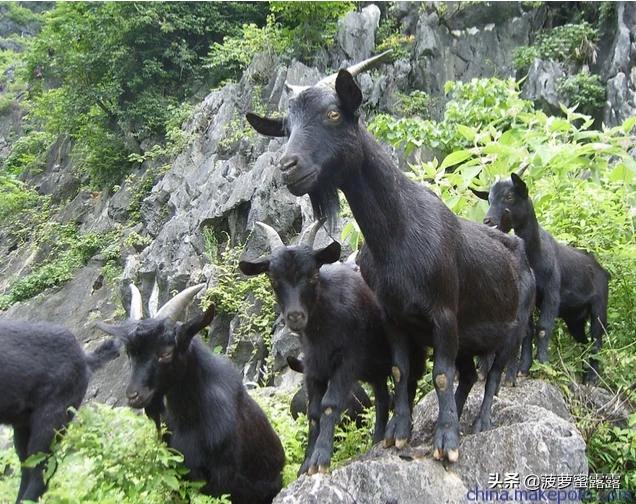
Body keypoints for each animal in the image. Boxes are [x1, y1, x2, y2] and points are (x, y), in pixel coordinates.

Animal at [238, 220, 398, 472]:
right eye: (273, 280)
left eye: (313, 275)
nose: (295, 316)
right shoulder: (313, 367)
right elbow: (313, 413)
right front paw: (305, 465)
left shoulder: (347, 361)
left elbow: (329, 405)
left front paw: (320, 459)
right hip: (375, 370)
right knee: (382, 398)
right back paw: (377, 441)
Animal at [472, 173, 612, 382]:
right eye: (488, 199)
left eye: (509, 196)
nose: (488, 220)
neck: (535, 256)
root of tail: (603, 271)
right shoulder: (530, 297)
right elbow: (527, 331)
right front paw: (524, 368)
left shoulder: (552, 293)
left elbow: (543, 328)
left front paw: (544, 366)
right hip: (575, 318)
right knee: (584, 341)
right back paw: (582, 374)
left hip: (599, 307)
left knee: (597, 337)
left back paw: (591, 379)